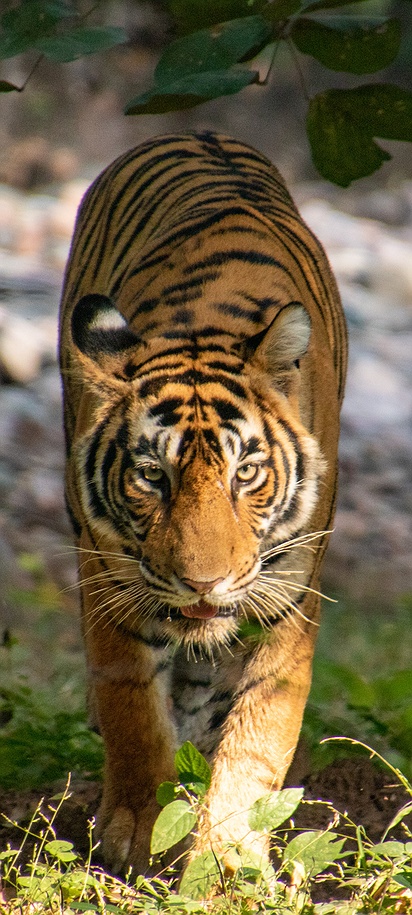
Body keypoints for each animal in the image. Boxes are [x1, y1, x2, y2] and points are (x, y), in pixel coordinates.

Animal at [59, 130, 347, 876]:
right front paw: (139, 832)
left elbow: (259, 731)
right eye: (151, 476)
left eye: (246, 474)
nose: (203, 582)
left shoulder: (288, 597)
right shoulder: (110, 575)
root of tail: (193, 131)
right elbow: (131, 705)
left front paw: (227, 859)